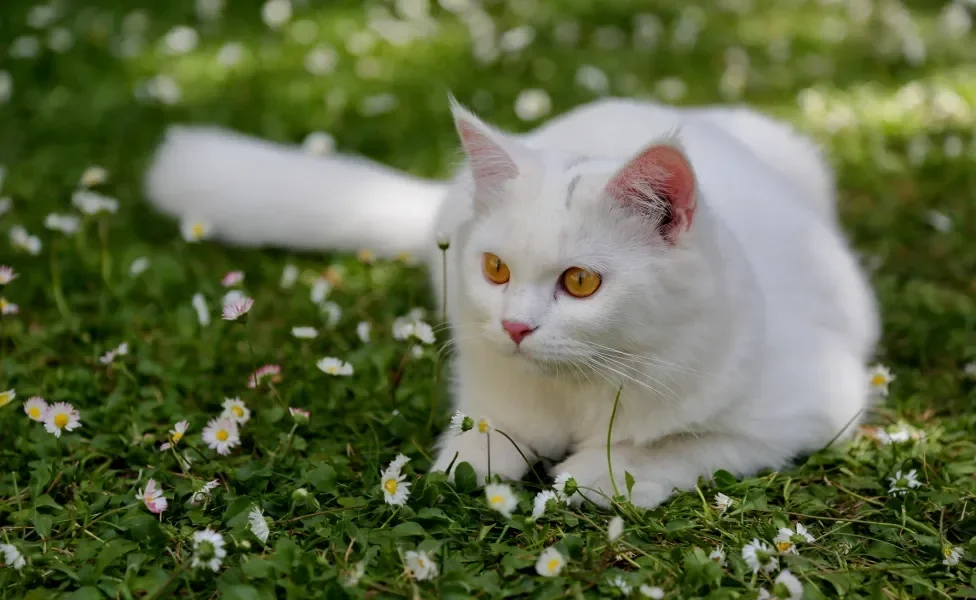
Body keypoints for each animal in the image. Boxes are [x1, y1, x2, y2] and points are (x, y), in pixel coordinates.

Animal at [147, 96, 884, 508]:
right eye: (496, 270)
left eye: (581, 283)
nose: (515, 326)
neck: (578, 389)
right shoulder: (488, 394)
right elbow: (479, 440)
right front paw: (470, 471)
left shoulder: (807, 408)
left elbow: (672, 444)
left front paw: (590, 477)